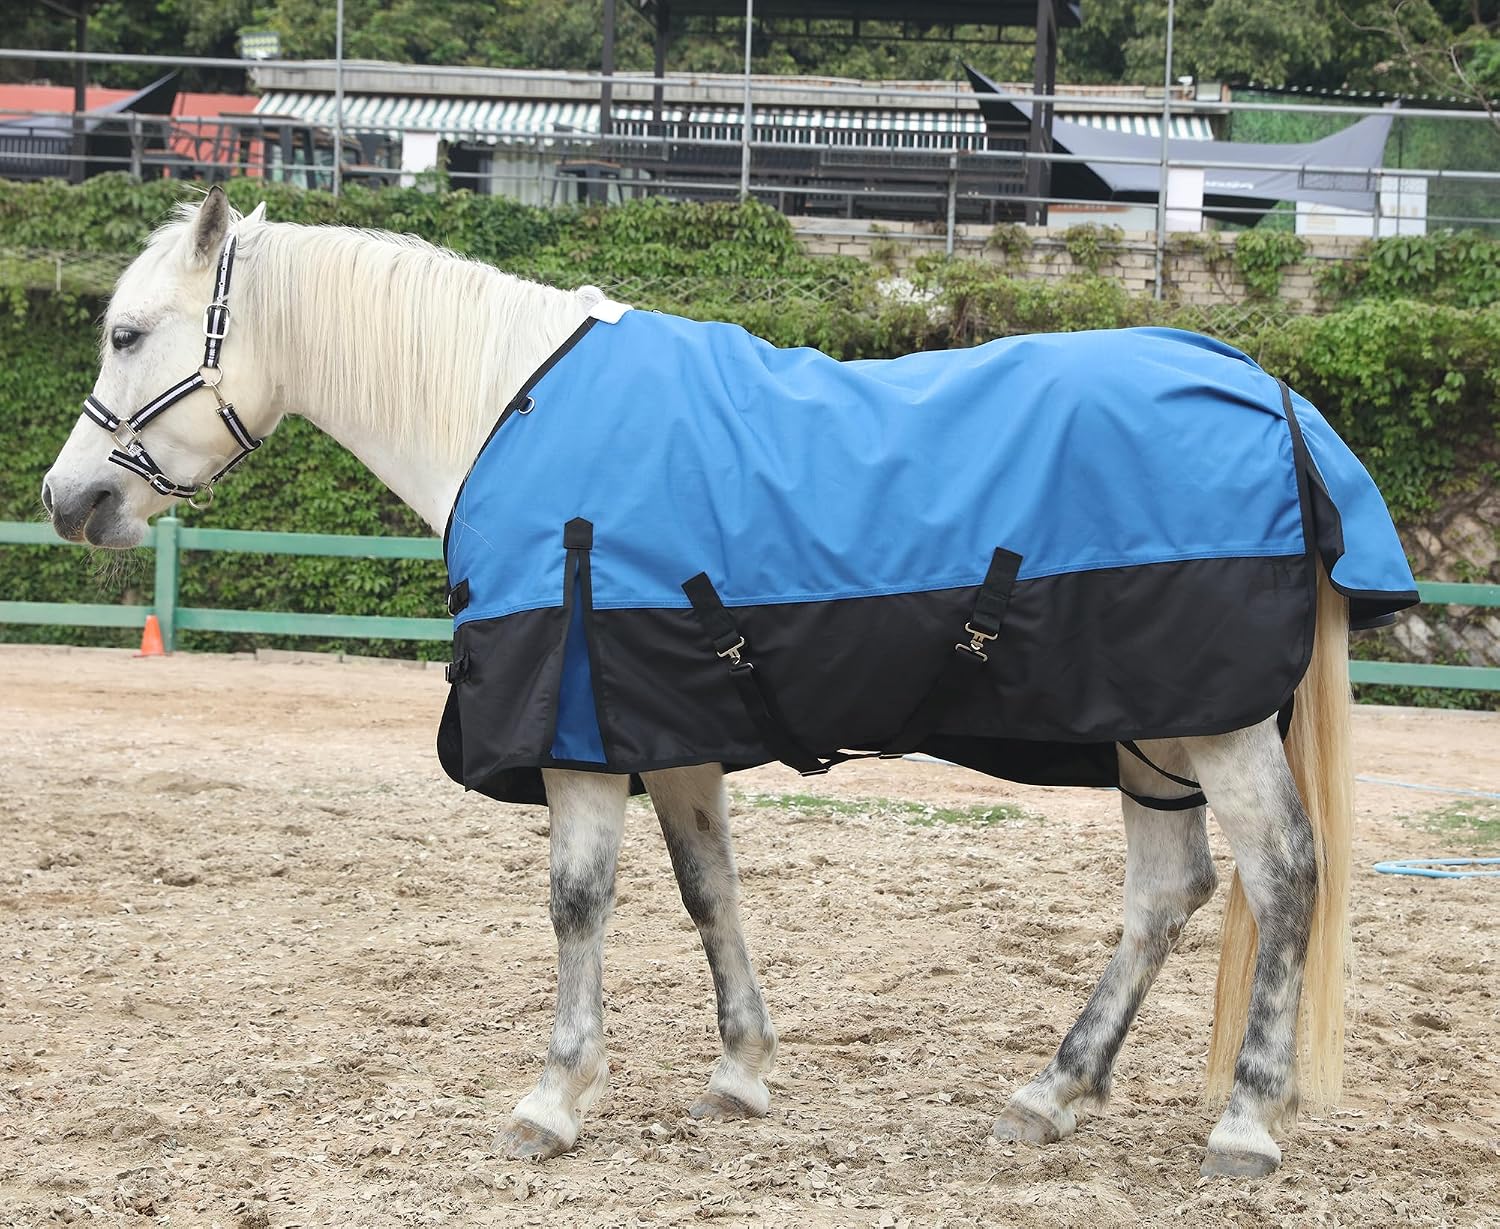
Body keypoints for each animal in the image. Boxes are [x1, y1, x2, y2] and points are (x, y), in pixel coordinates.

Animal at [42, 187, 1403, 1178]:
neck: (505, 406)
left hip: (1216, 724)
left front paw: (554, 1094)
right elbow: (708, 889)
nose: (68, 499)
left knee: (1286, 875)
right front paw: (741, 1069)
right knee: (1169, 890)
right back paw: (1052, 1090)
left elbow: (577, 901)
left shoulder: (583, 730)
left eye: (126, 332)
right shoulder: (669, 723)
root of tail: (1277, 400)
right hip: (1151, 731)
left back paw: (1244, 1121)